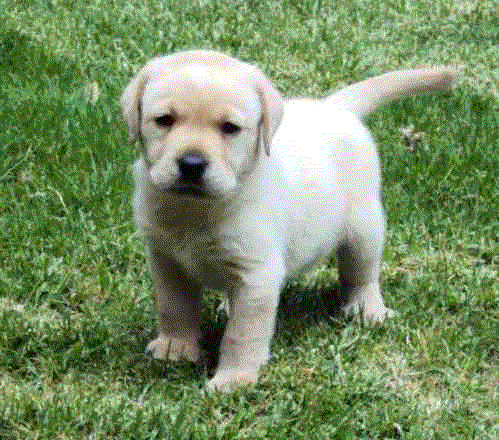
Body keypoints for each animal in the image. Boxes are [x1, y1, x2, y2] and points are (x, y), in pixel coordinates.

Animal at [120, 49, 458, 390]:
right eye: (164, 120)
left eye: (230, 128)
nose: (191, 164)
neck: (195, 209)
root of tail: (336, 107)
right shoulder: (166, 260)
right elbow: (173, 307)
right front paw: (175, 346)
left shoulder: (256, 274)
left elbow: (242, 334)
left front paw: (234, 378)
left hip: (364, 228)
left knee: (362, 274)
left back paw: (368, 309)